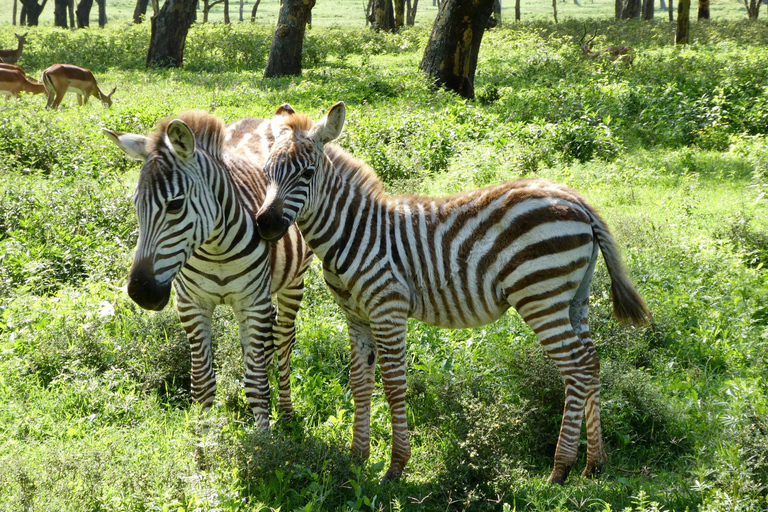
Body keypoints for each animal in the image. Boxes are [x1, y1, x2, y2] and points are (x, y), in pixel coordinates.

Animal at [103, 111, 314, 428]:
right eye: (135, 204)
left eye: (175, 205)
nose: (141, 292)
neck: (217, 249)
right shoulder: (192, 304)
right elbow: (202, 383)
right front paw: (202, 438)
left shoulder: (252, 303)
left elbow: (257, 384)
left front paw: (265, 438)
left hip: (293, 282)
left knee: (284, 340)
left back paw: (287, 411)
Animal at [255, 103, 652, 484]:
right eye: (267, 172)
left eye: (307, 174)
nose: (265, 224)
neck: (355, 232)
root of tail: (577, 200)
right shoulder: (356, 316)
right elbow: (359, 383)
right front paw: (357, 457)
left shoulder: (388, 309)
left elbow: (393, 384)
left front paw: (395, 466)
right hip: (575, 298)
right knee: (592, 362)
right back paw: (594, 463)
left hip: (541, 296)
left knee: (576, 366)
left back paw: (560, 468)